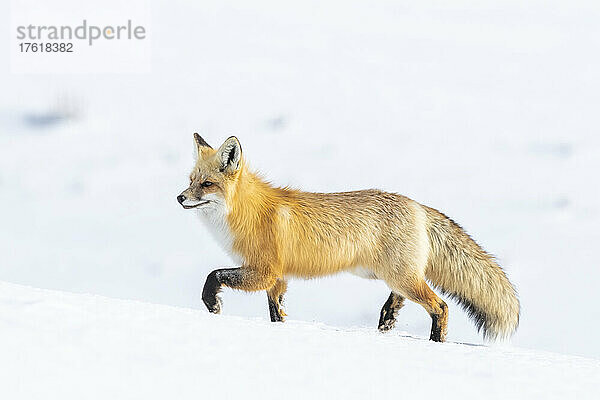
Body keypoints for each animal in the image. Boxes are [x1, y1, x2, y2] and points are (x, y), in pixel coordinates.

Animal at [178, 134, 520, 340]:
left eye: (207, 184)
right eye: (191, 180)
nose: (180, 198)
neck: (247, 212)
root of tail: (417, 205)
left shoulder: (264, 271)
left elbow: (214, 275)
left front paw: (212, 304)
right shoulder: (279, 278)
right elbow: (276, 312)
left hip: (398, 275)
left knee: (440, 306)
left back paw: (435, 342)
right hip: (387, 274)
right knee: (405, 296)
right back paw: (387, 320)